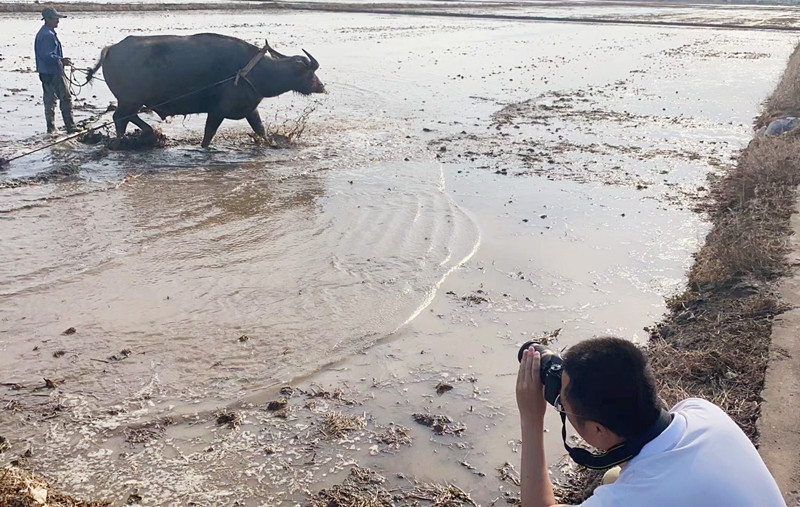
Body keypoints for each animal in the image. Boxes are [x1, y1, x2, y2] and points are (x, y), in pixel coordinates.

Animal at [86, 33, 324, 147]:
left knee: (127, 117)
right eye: (310, 73)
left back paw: (148, 133)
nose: (321, 86)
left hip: (132, 101)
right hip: (129, 100)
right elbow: (208, 136)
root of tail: (110, 49)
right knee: (120, 118)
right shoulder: (217, 112)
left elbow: (260, 130)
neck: (251, 71)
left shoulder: (250, 110)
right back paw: (121, 142)